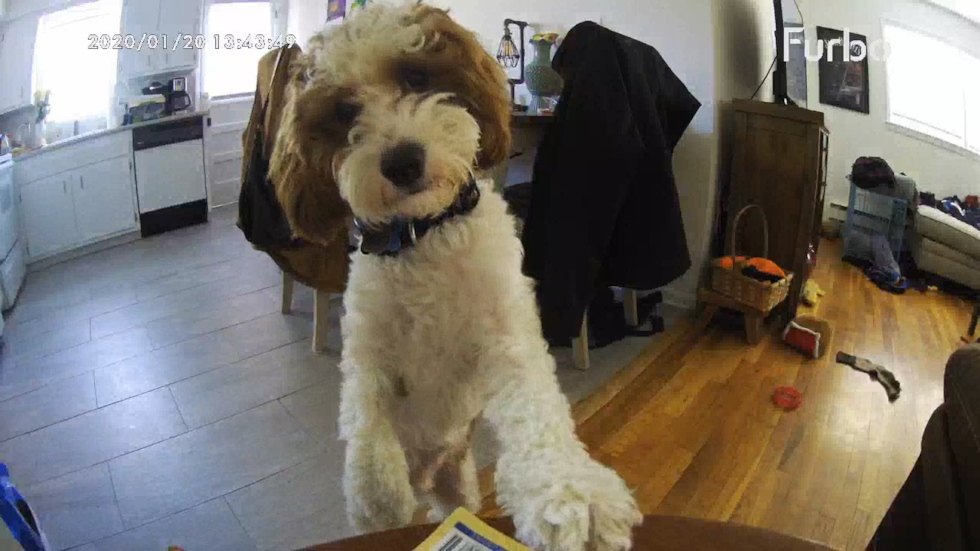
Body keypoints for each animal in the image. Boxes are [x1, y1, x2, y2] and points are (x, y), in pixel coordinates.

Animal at [272, 2, 644, 548]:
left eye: (415, 76)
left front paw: (572, 492)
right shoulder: (368, 346)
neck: (423, 235)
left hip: (460, 485)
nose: (402, 162)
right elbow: (364, 413)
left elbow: (537, 412)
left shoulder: (507, 338)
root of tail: (431, 476)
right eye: (344, 113)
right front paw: (376, 491)